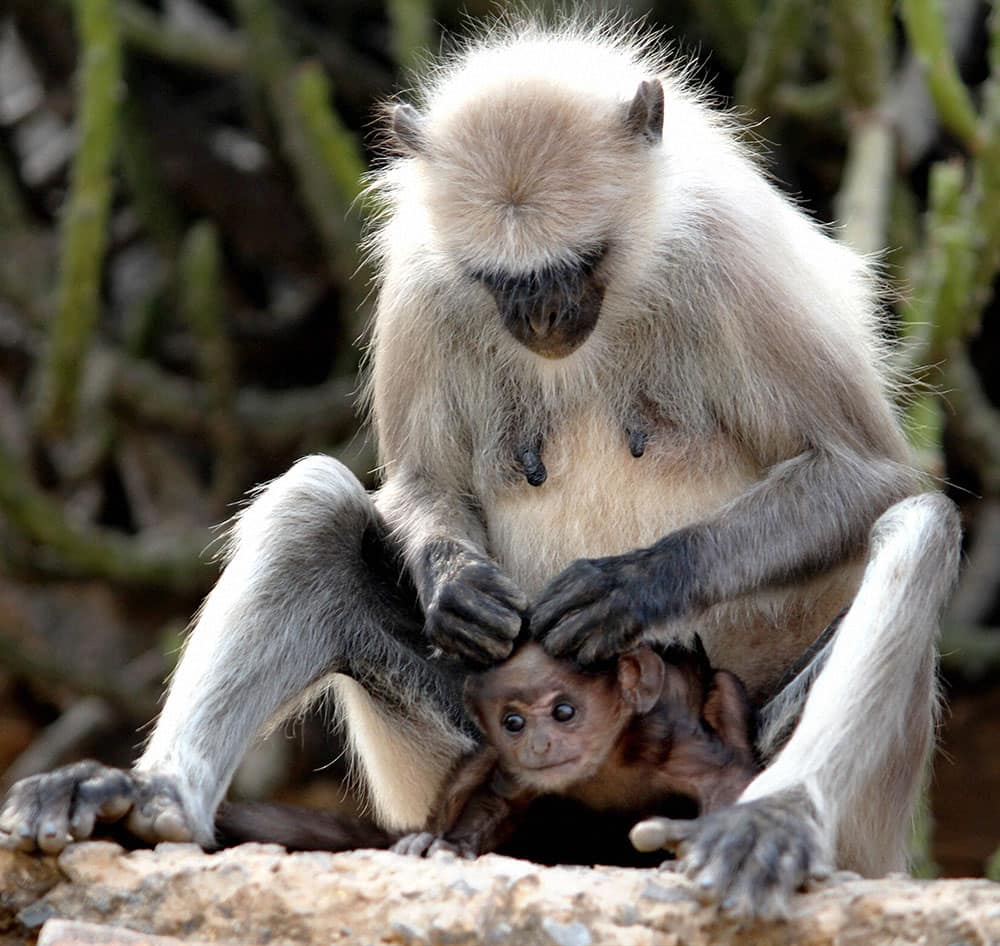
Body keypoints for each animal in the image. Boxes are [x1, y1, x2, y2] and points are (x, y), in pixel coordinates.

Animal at [390, 640, 756, 856]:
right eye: (513, 722)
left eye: (564, 712)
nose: (540, 745)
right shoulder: (519, 769)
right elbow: (496, 801)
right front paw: (451, 846)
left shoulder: (662, 738)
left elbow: (722, 778)